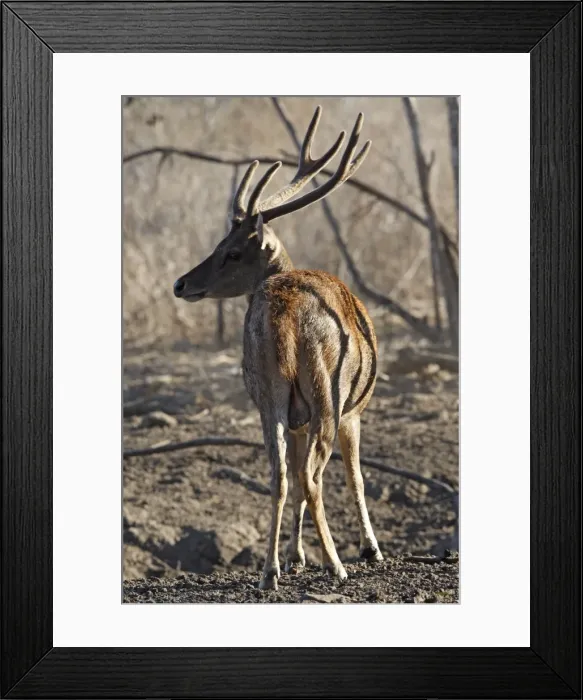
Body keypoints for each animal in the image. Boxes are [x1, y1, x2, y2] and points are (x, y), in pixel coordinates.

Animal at [173, 106, 383, 590]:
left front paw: (294, 556)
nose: (181, 283)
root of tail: (284, 314)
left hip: (267, 391)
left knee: (281, 473)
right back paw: (336, 564)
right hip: (327, 392)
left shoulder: (294, 415)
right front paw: (370, 549)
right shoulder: (354, 411)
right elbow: (356, 477)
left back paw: (269, 571)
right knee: (312, 475)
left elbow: (298, 482)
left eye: (231, 252)